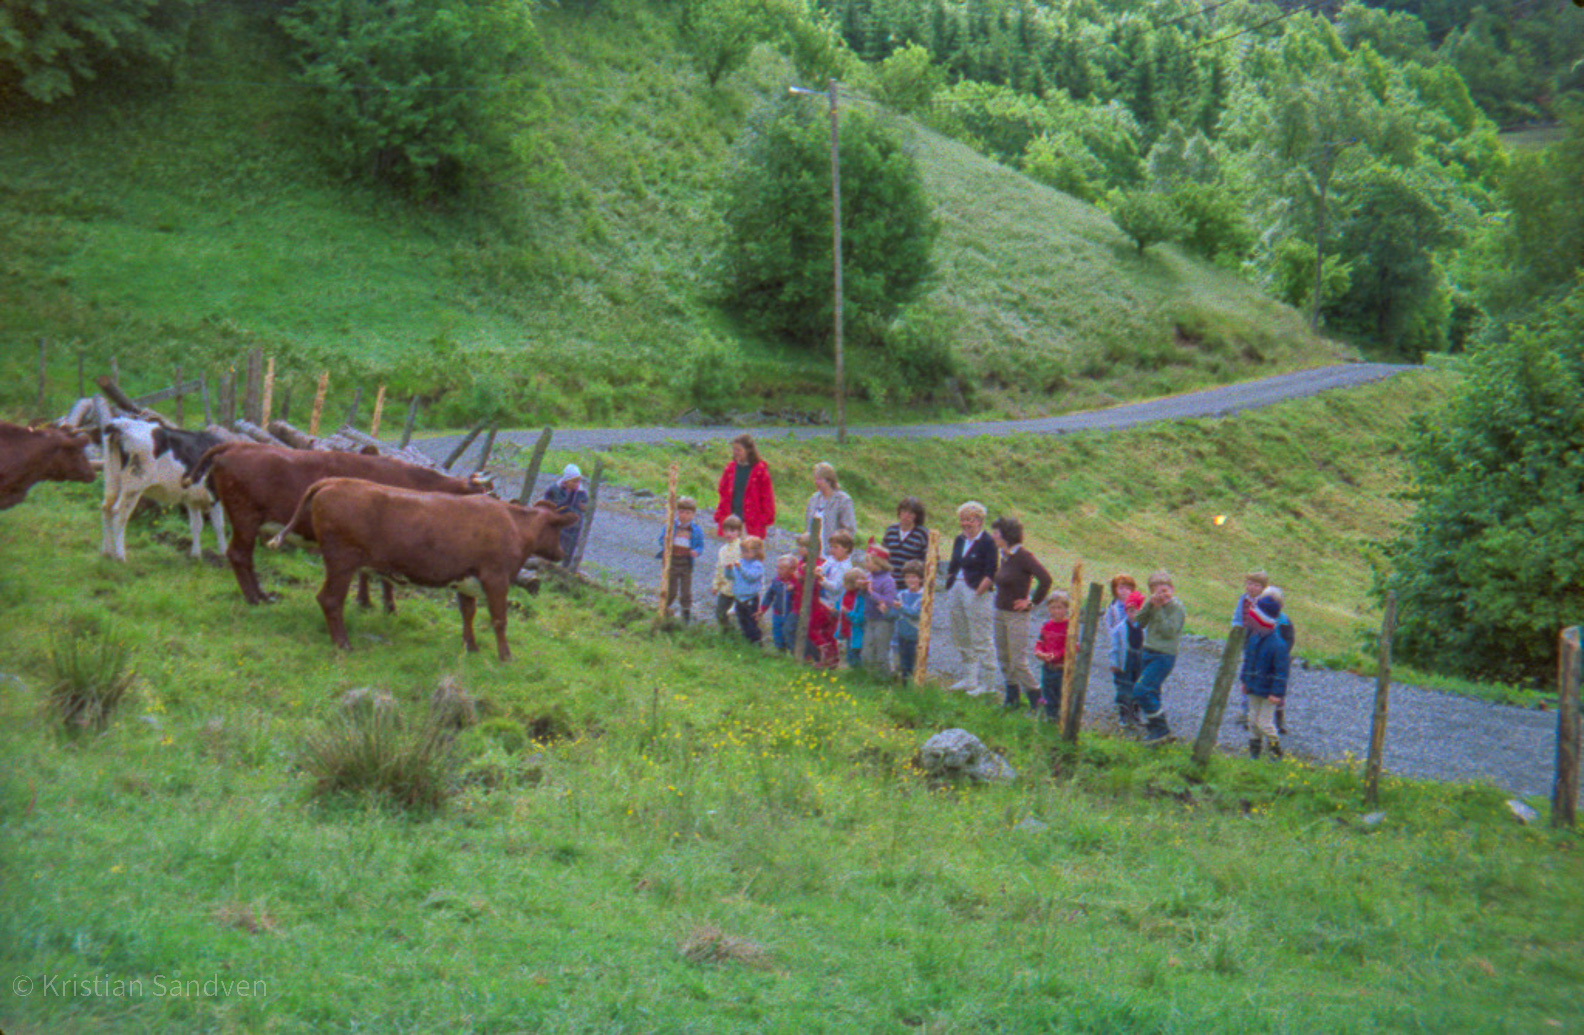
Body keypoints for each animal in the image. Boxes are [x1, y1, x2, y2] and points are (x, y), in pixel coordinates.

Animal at [100, 418, 228, 561]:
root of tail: (121, 423)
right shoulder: (215, 495)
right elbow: (219, 525)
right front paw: (223, 554)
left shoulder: (192, 498)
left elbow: (196, 525)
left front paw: (195, 555)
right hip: (133, 486)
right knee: (119, 514)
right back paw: (120, 557)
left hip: (112, 479)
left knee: (106, 508)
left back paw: (107, 553)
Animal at [189, 437, 491, 602]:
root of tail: (236, 445)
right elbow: (382, 578)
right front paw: (381, 606)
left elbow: (368, 573)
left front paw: (366, 602)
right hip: (245, 517)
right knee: (239, 555)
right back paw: (255, 598)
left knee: (245, 557)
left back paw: (261, 594)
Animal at [275, 478, 579, 662]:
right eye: (557, 530)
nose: (562, 553)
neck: (513, 524)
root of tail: (336, 480)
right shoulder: (496, 578)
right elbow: (499, 620)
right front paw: (505, 656)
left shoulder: (466, 580)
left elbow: (468, 613)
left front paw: (471, 647)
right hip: (341, 562)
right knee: (330, 599)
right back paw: (343, 644)